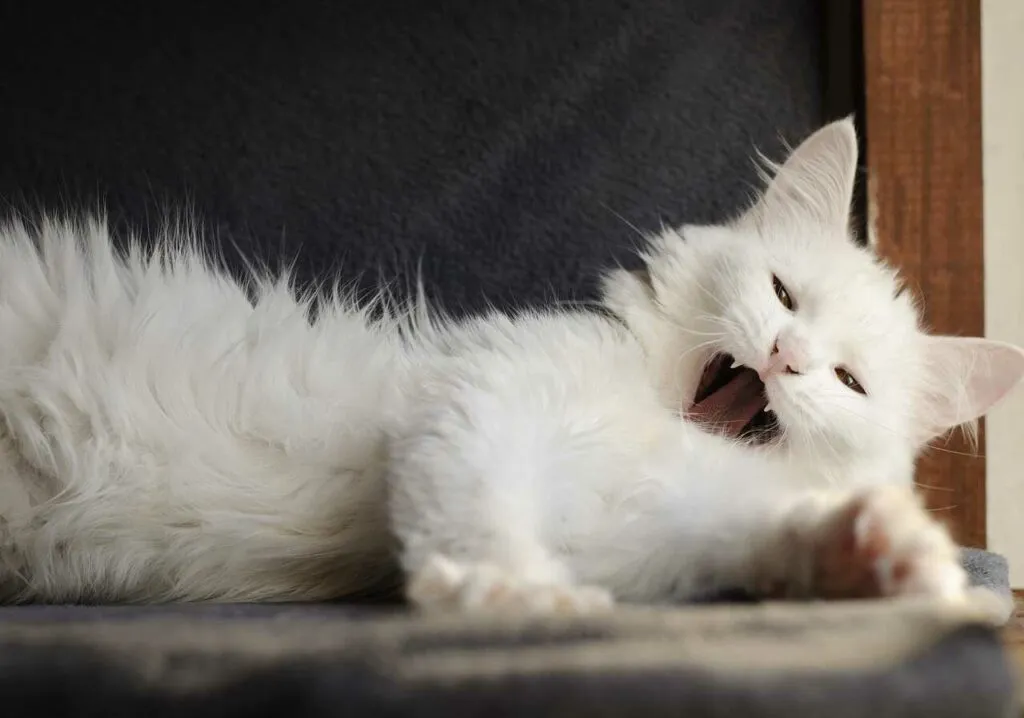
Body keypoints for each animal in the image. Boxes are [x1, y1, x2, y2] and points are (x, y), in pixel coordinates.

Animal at [0, 117, 1019, 610]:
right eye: (782, 294)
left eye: (847, 382)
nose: (786, 353)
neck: (643, 419)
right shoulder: (479, 401)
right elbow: (475, 511)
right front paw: (511, 595)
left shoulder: (635, 529)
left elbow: (735, 536)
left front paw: (872, 558)